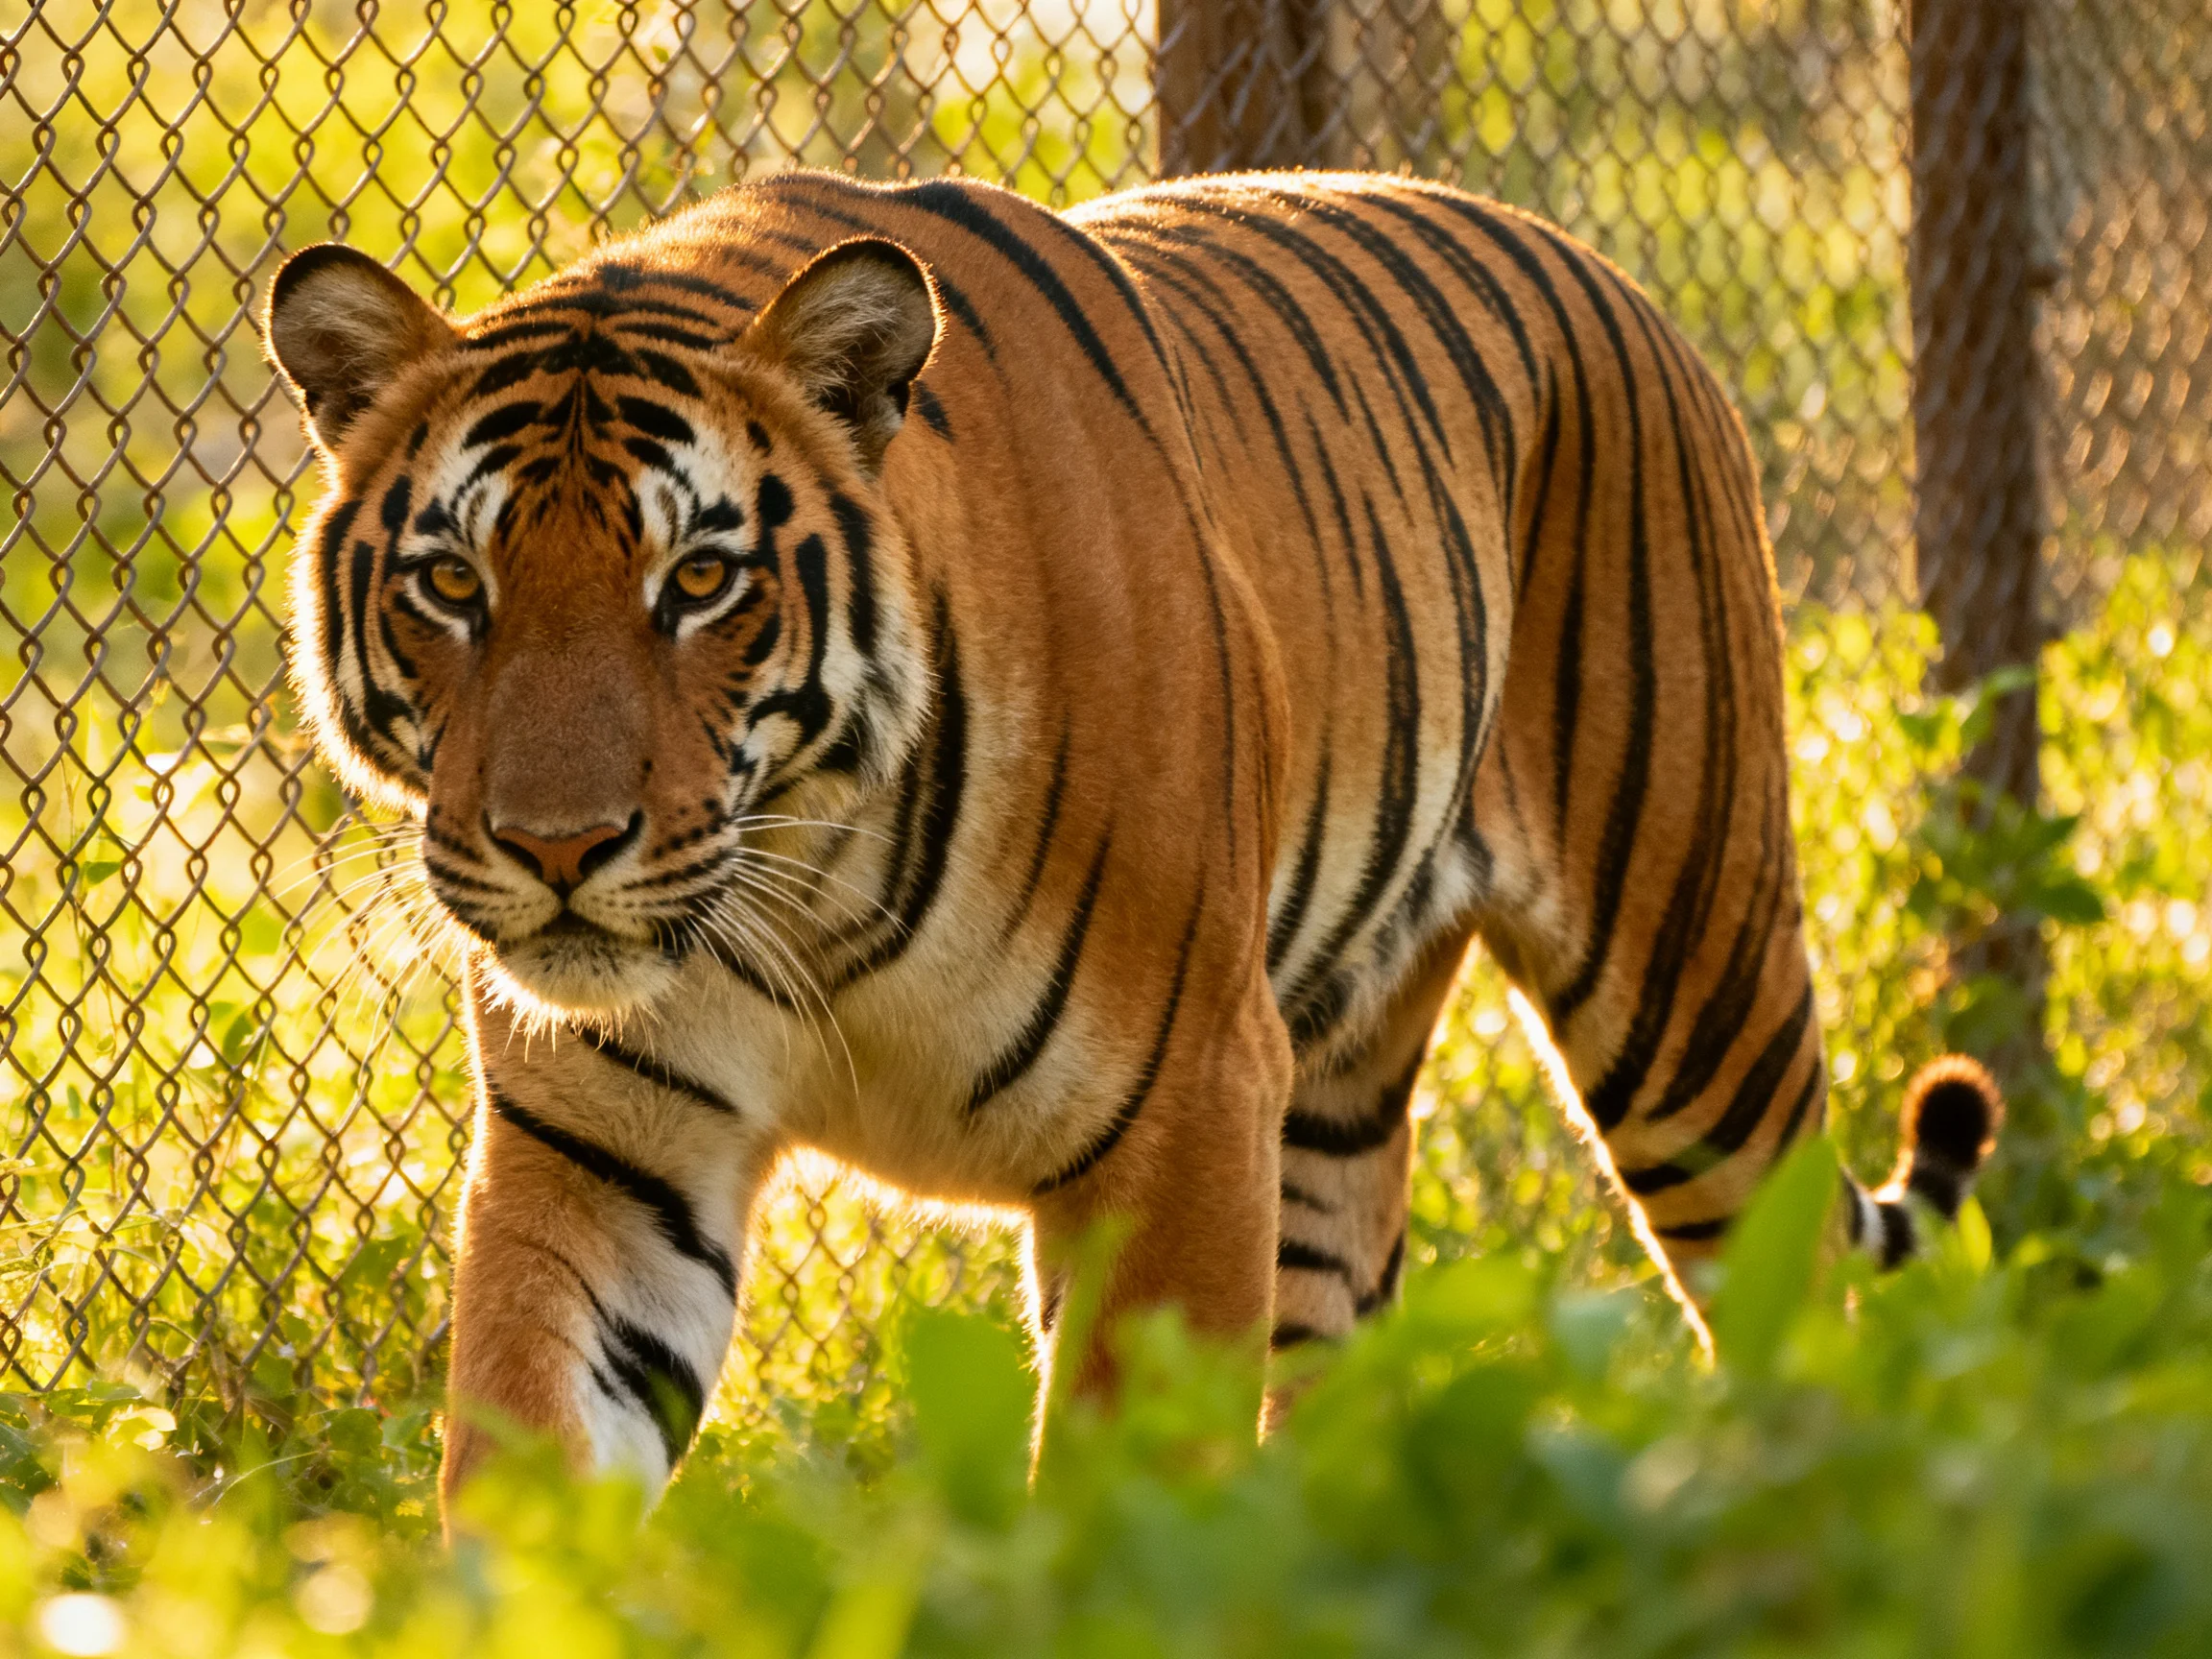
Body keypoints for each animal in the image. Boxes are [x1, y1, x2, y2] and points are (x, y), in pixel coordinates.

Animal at [261, 167, 2003, 1518]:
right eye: (451, 585)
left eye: (698, 580)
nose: (556, 846)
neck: (809, 884)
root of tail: (1609, 276)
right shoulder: (603, 1156)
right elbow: (526, 1477)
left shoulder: (1179, 1115)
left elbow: (1127, 1501)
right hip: (1330, 1095)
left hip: (1689, 987)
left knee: (1797, 1286)